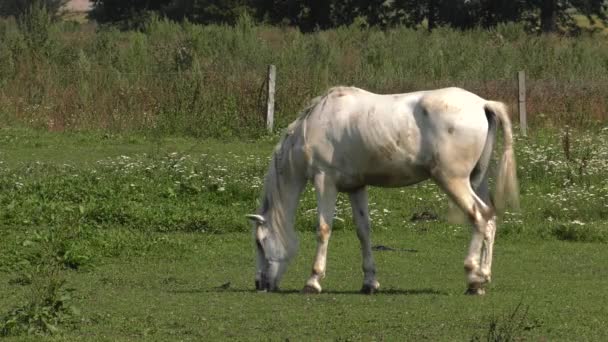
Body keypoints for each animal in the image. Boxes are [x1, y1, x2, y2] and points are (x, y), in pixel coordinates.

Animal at [247, 87, 516, 296]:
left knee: (479, 217)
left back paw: (473, 276)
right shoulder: (356, 187)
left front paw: (313, 281)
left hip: (453, 181)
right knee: (489, 220)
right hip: (475, 180)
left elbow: (323, 229)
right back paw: (482, 278)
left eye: (260, 242)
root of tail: (483, 104)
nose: (260, 284)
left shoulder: (325, 181)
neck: (317, 122)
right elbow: (363, 232)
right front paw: (370, 282)